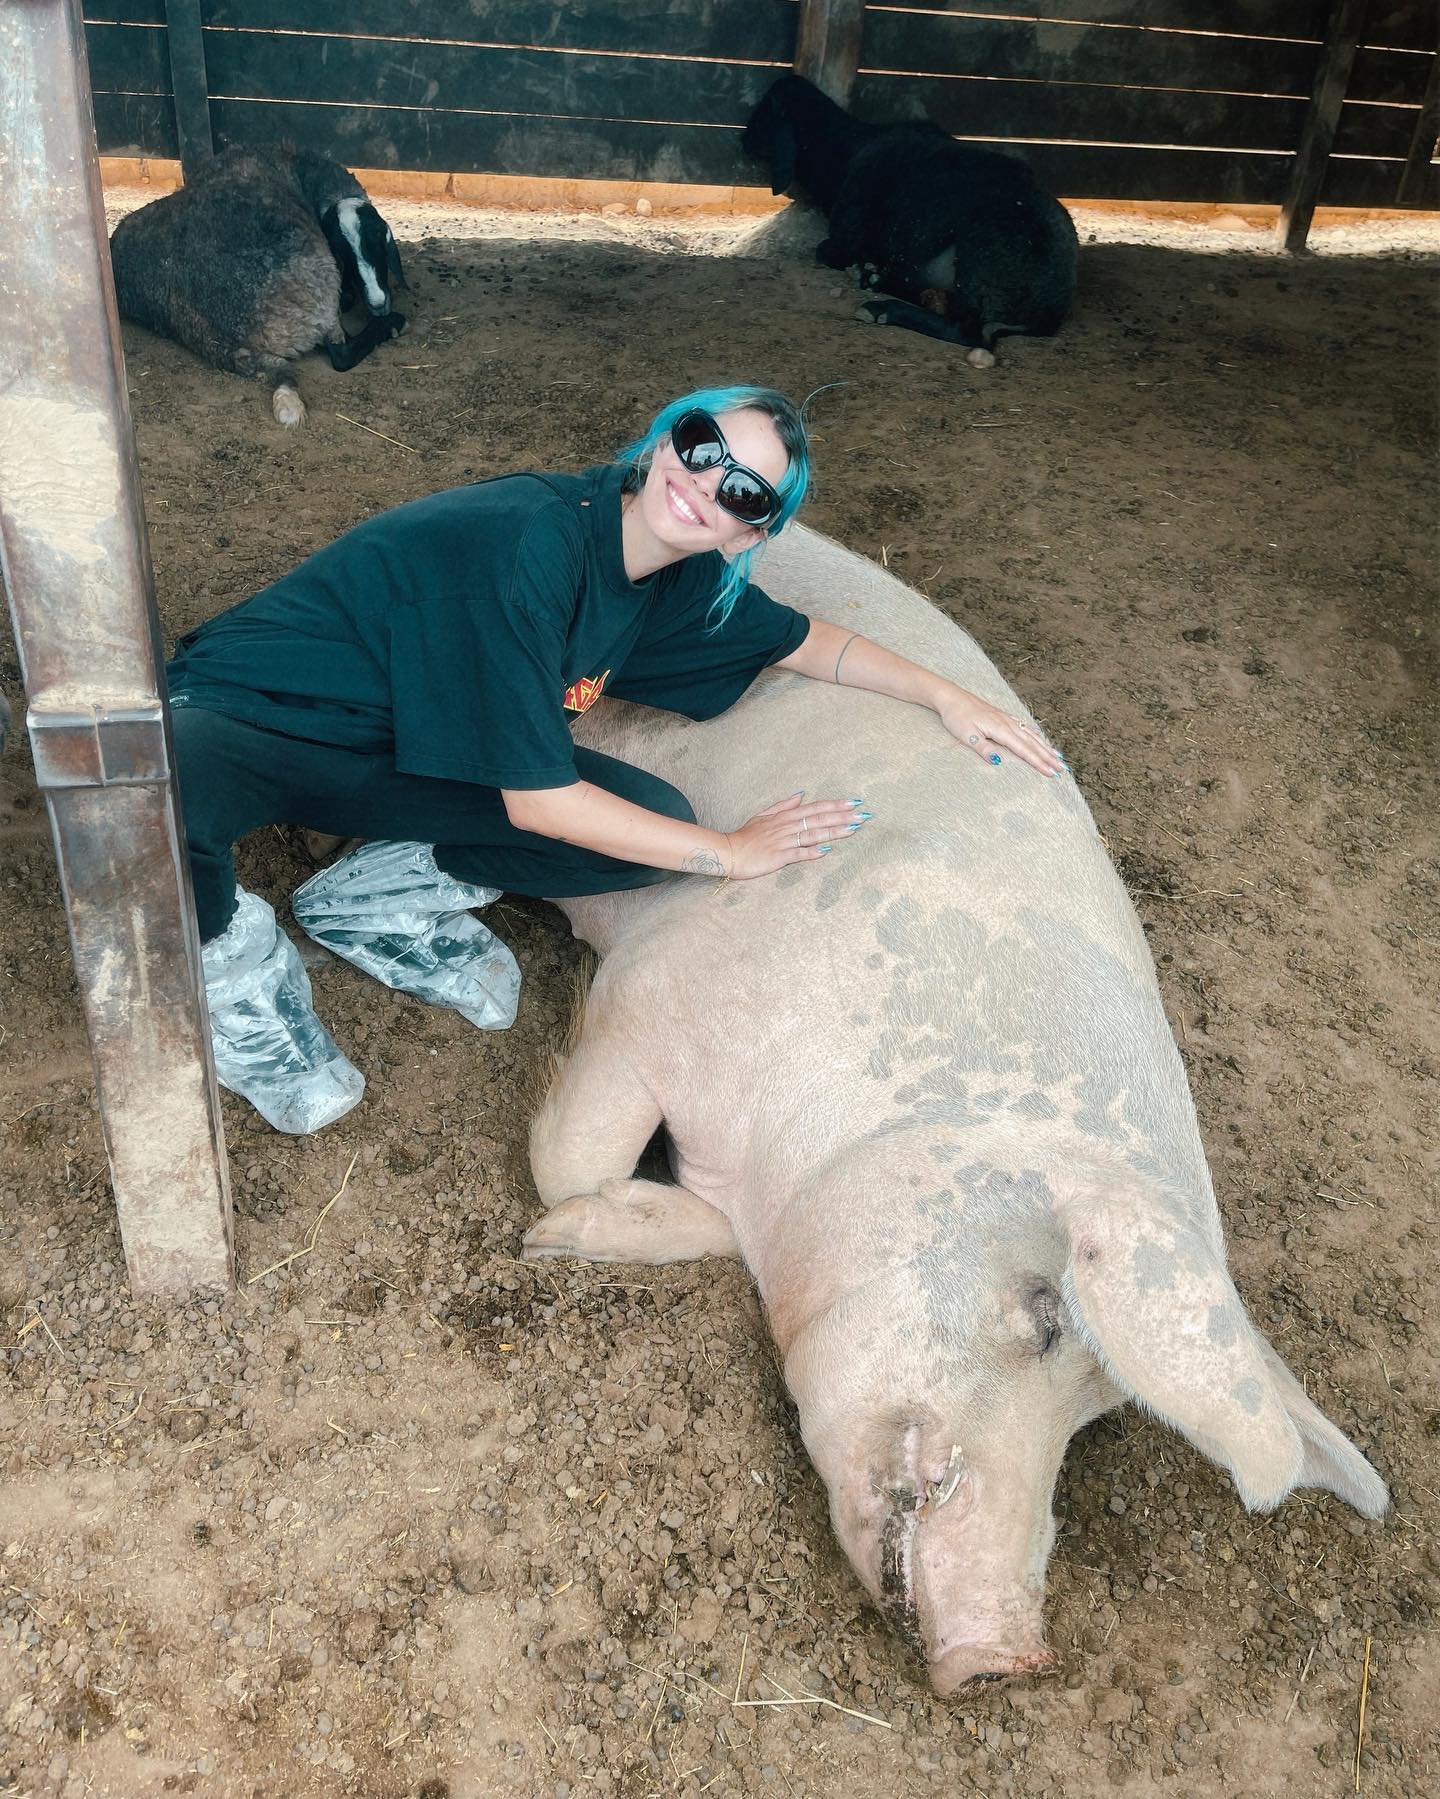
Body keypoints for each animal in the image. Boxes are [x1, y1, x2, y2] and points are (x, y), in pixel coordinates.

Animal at [108, 146, 405, 424]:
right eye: (345, 257)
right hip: (318, 292)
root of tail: (213, 335)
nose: (378, 303)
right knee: (341, 352)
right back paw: (393, 324)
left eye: (378, 247)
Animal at [518, 521, 1382, 1683]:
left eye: (1098, 1410)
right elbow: (571, 1150)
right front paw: (549, 1239)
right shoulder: (655, 988)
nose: (1008, 1655)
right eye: (1047, 1312)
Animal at [748, 77, 1072, 368]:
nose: (744, 140)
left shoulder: (846, 237)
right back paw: (875, 281)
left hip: (978, 252)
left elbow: (826, 251)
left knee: (966, 330)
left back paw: (881, 308)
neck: (846, 148)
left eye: (763, 113)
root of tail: (1050, 306)